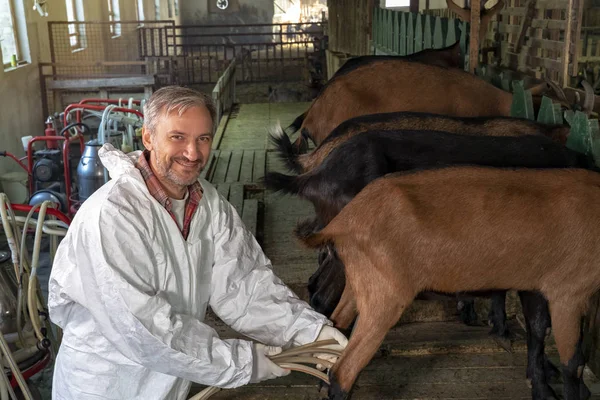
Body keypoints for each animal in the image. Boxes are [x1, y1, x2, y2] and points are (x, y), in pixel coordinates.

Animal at [296, 165, 600, 396]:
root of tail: (343, 222)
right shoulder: (567, 292)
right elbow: (573, 363)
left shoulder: (536, 284)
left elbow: (539, 334)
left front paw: (543, 388)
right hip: (385, 293)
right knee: (344, 370)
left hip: (359, 284)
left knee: (336, 325)